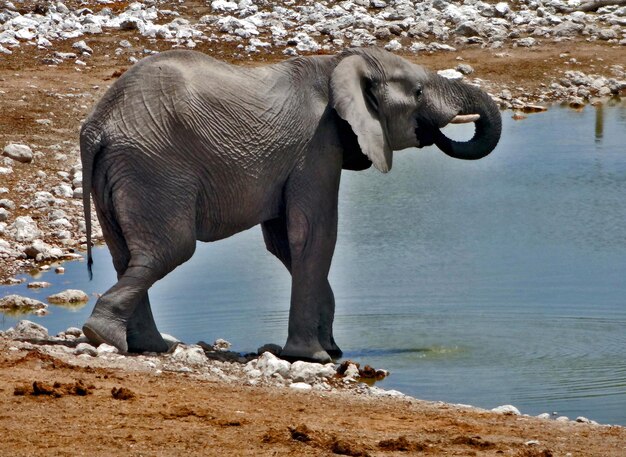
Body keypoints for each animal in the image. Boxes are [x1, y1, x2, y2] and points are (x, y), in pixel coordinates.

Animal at [79, 45, 498, 360]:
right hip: (155, 168)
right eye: (418, 93)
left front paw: (332, 349)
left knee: (125, 253)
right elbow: (314, 233)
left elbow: (283, 242)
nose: (435, 130)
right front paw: (315, 356)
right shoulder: (318, 143)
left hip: (122, 172)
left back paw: (145, 346)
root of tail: (97, 126)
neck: (338, 63)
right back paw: (103, 334)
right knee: (170, 250)